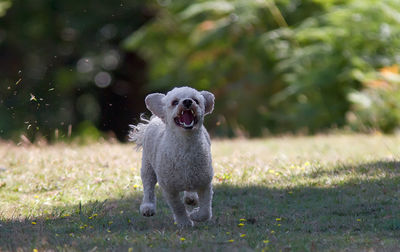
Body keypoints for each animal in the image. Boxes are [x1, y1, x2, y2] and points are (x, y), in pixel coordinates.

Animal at [130, 86, 214, 228]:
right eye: (175, 102)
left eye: (196, 100)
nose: (187, 101)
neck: (186, 147)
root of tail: (155, 119)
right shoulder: (169, 188)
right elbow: (178, 206)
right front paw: (184, 222)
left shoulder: (205, 182)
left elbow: (206, 210)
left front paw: (195, 215)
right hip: (147, 166)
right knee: (148, 185)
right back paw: (148, 207)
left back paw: (191, 197)